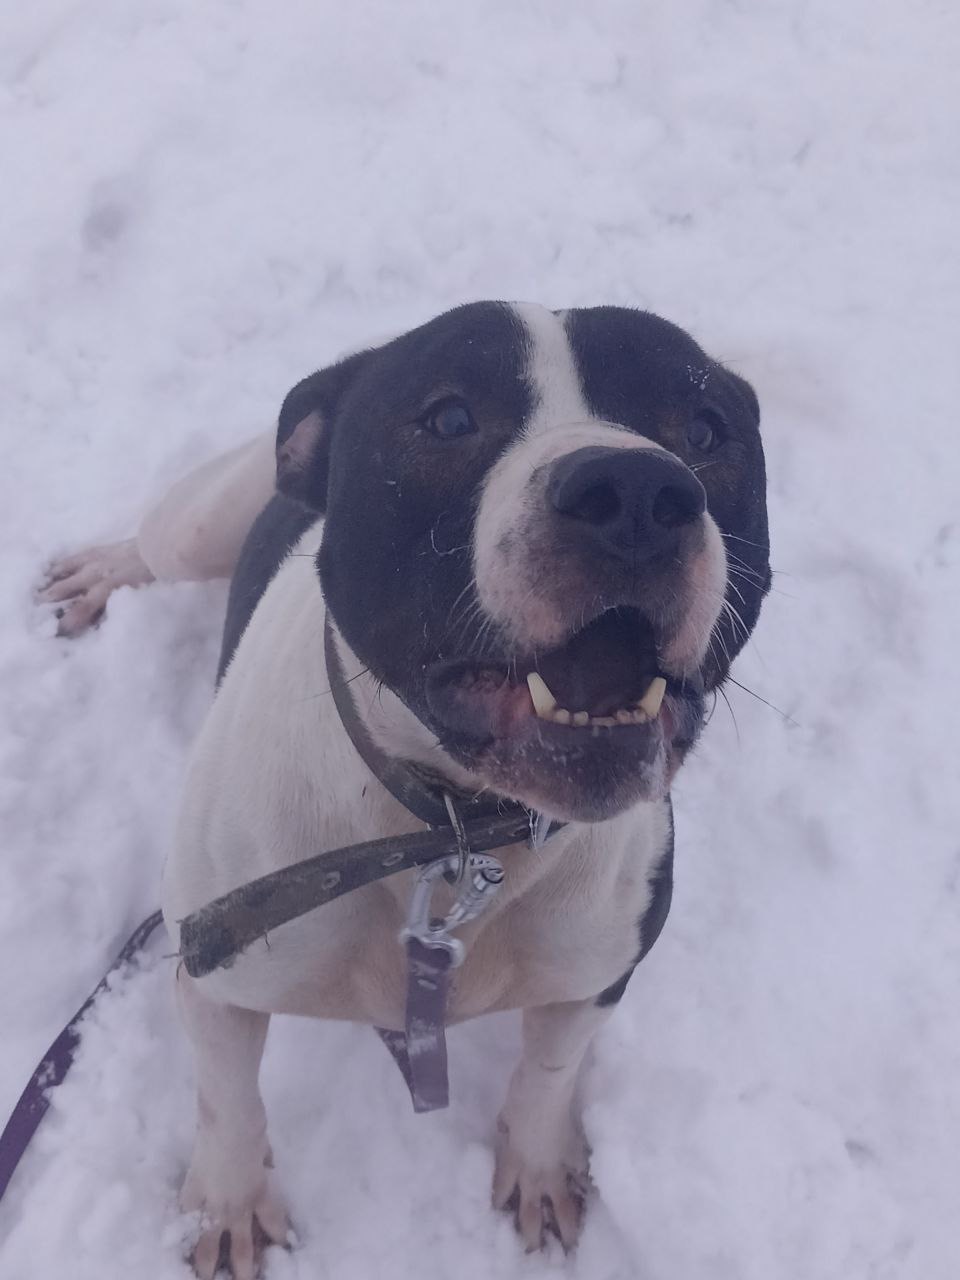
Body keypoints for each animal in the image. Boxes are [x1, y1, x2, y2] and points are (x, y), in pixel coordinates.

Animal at [46, 301, 770, 1276]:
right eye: (449, 418)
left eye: (703, 431)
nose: (635, 493)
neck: (454, 825)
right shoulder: (217, 968)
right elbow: (226, 1099)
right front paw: (229, 1207)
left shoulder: (595, 972)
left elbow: (548, 1074)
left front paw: (539, 1165)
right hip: (201, 519)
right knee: (155, 543)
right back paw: (103, 573)